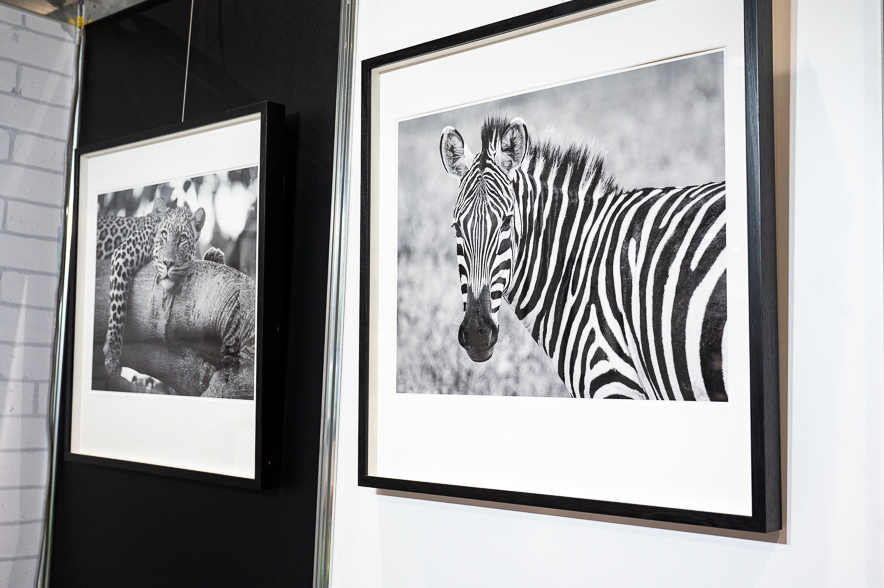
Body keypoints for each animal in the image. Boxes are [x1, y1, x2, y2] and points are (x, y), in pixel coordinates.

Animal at [96, 198, 225, 378]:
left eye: (183, 238)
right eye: (164, 234)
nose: (168, 263)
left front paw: (215, 255)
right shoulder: (121, 255)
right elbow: (118, 304)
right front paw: (112, 355)